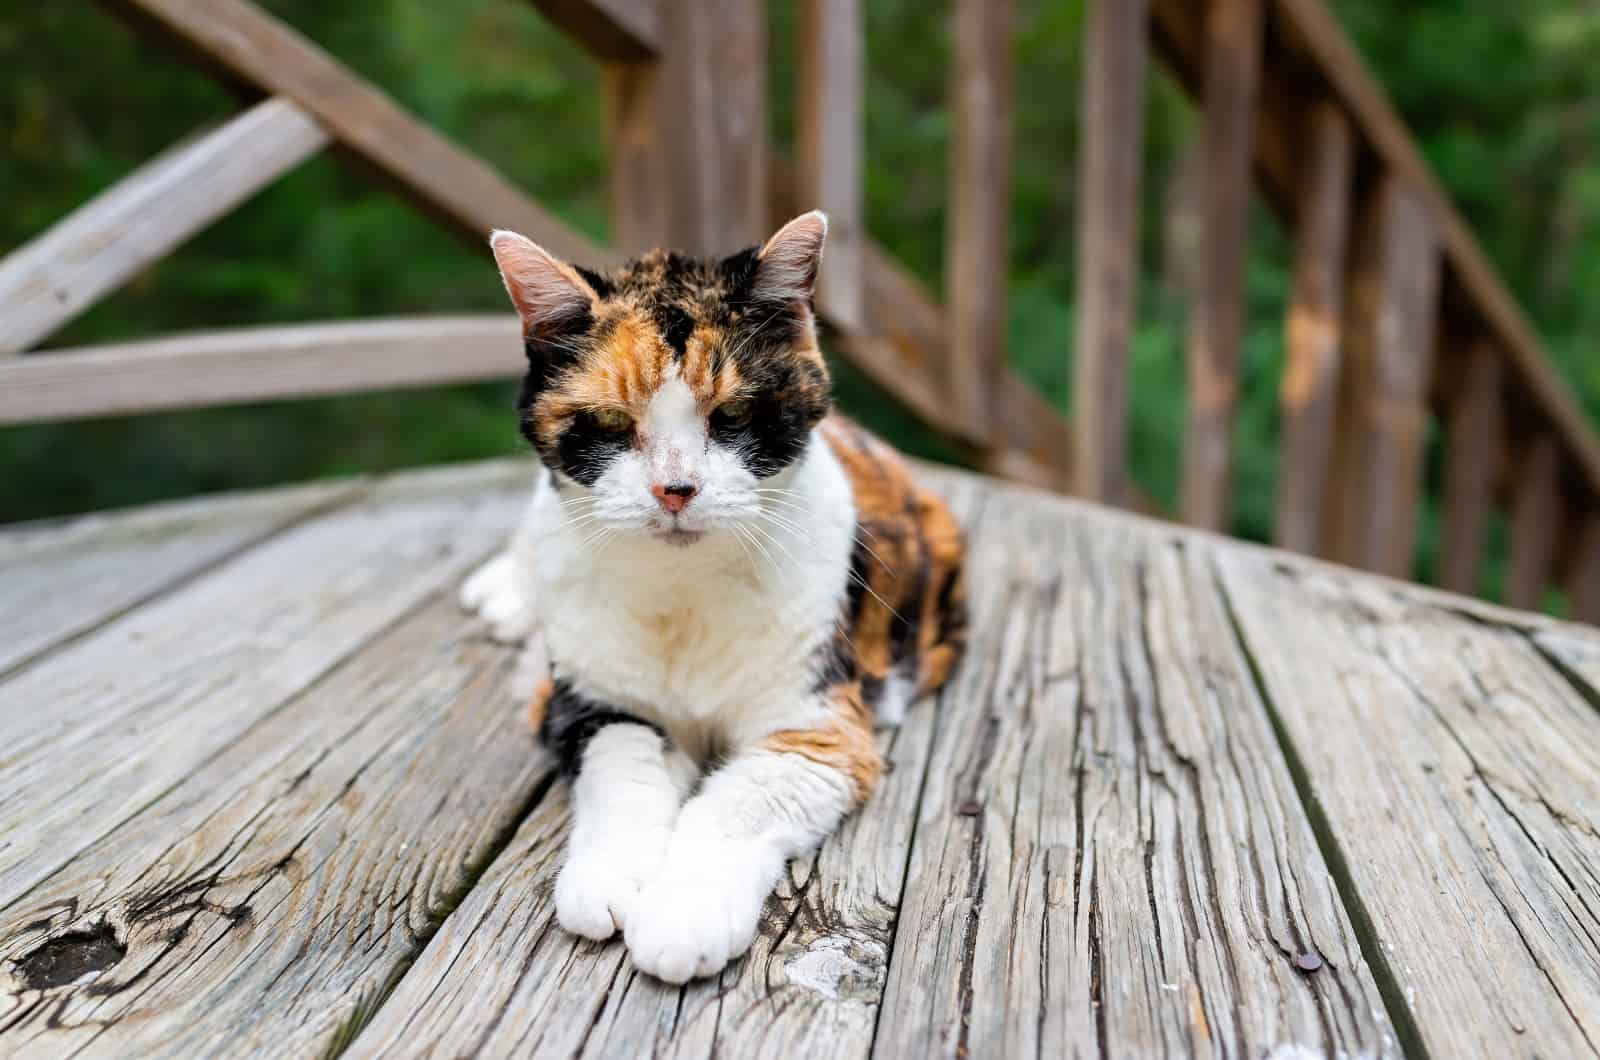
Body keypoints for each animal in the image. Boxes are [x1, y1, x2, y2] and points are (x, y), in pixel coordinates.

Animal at [457, 214, 966, 986]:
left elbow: (738, 802)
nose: (676, 489)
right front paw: (609, 879)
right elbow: (622, 773)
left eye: (731, 415)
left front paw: (682, 916)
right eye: (613, 422)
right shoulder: (592, 702)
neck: (682, 595)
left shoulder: (819, 729)